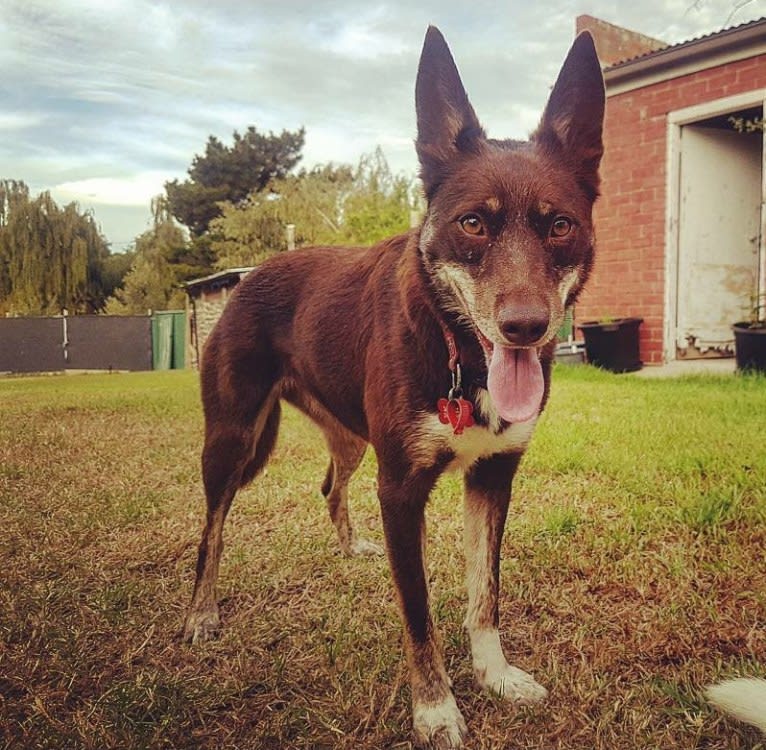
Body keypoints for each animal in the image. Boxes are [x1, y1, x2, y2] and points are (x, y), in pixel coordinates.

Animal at [186, 26, 608, 748]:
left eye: (560, 225)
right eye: (473, 224)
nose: (525, 326)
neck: (459, 355)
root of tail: (249, 276)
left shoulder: (493, 475)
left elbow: (484, 593)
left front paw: (495, 675)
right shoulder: (401, 491)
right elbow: (419, 614)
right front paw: (435, 708)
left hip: (351, 440)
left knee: (329, 485)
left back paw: (350, 546)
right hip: (234, 439)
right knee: (210, 529)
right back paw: (201, 613)